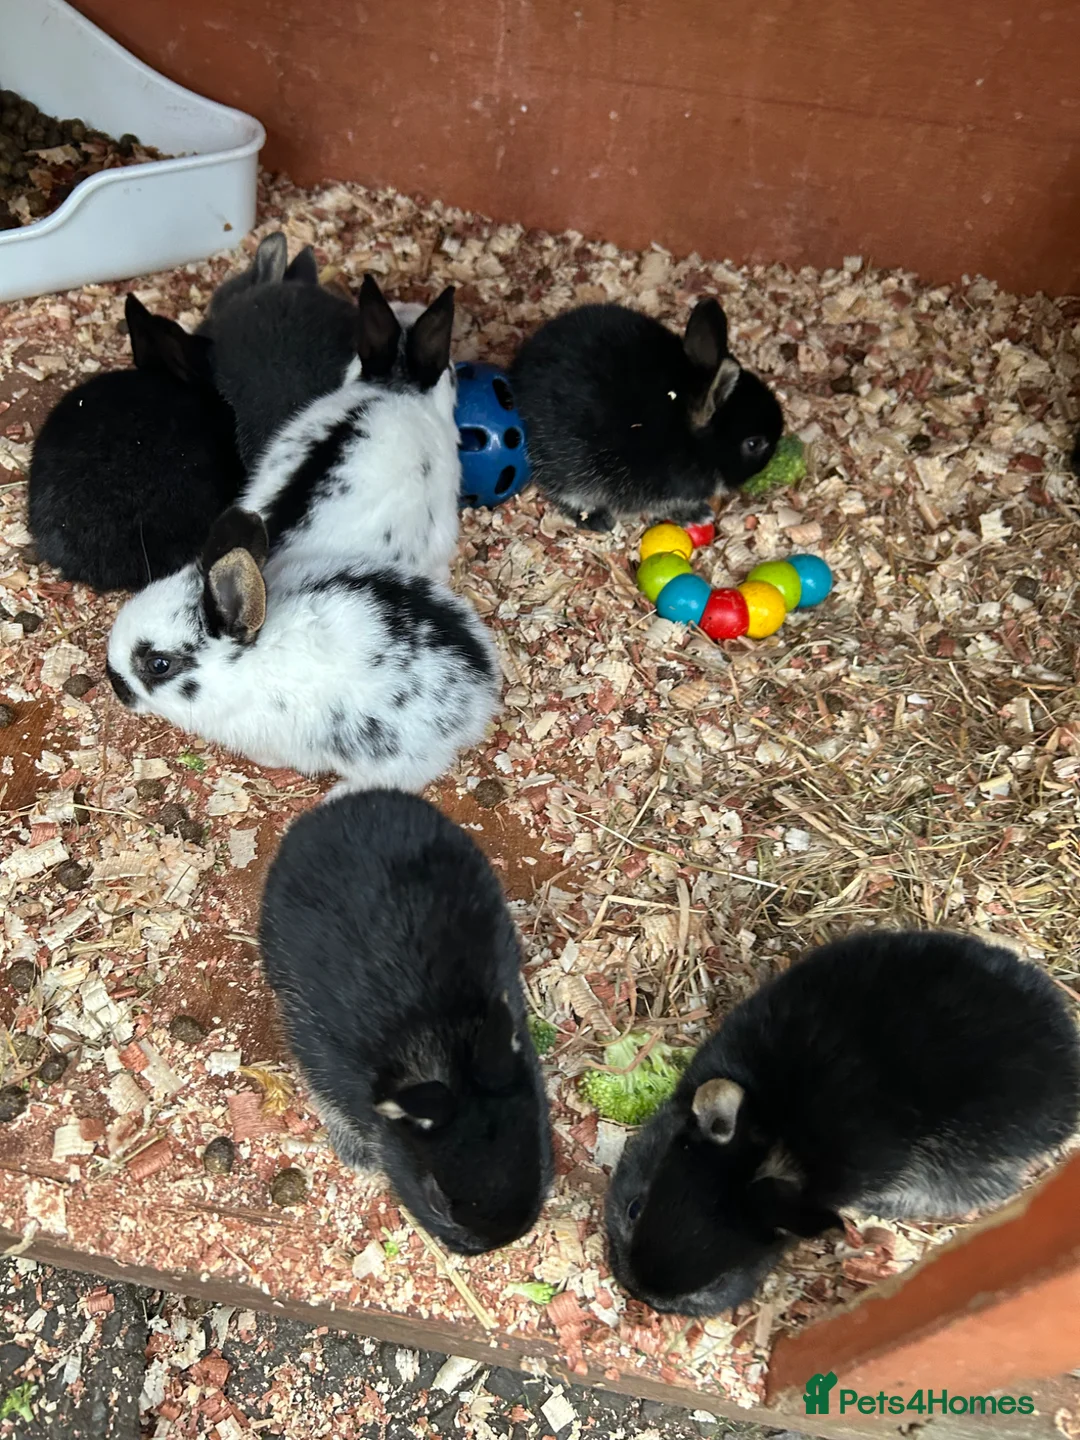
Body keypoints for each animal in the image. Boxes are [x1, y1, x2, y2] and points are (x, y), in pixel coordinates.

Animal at [258, 789, 553, 1254]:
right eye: (437, 1201)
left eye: (540, 1153)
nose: (492, 1244)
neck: (441, 1040)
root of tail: (356, 802)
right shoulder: (320, 1051)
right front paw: (358, 1157)